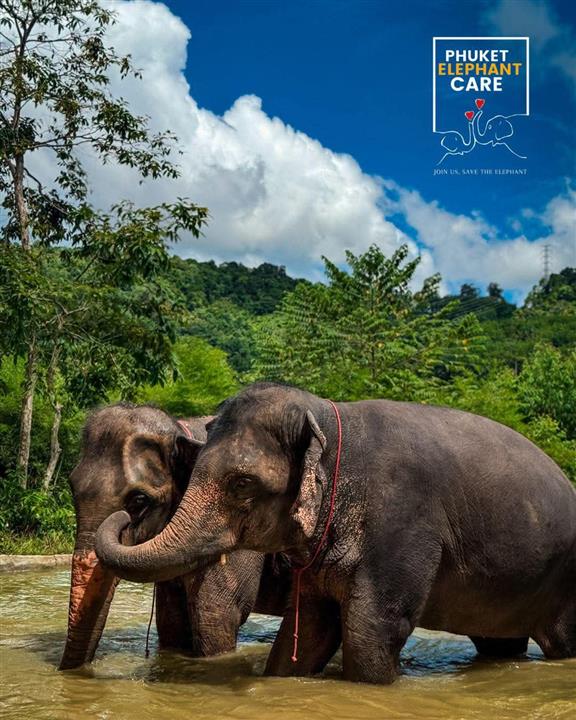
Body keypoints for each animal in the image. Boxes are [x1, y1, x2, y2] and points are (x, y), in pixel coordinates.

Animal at [95, 384, 576, 684]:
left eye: (242, 483)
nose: (128, 512)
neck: (330, 415)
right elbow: (310, 627)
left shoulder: (402, 525)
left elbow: (371, 630)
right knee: (500, 644)